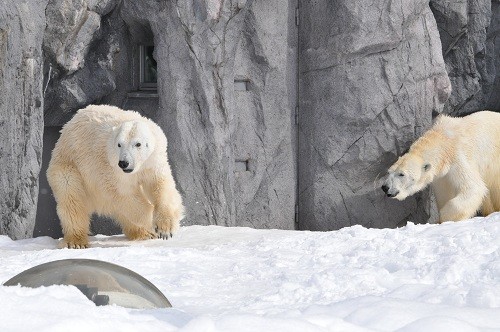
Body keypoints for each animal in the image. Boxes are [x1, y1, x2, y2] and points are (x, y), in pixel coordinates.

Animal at [47, 105, 185, 248]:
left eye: (138, 144)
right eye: (119, 144)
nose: (124, 162)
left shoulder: (153, 160)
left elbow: (160, 185)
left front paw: (166, 228)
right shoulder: (109, 167)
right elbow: (124, 194)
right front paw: (153, 224)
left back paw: (144, 233)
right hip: (70, 167)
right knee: (71, 198)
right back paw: (76, 242)